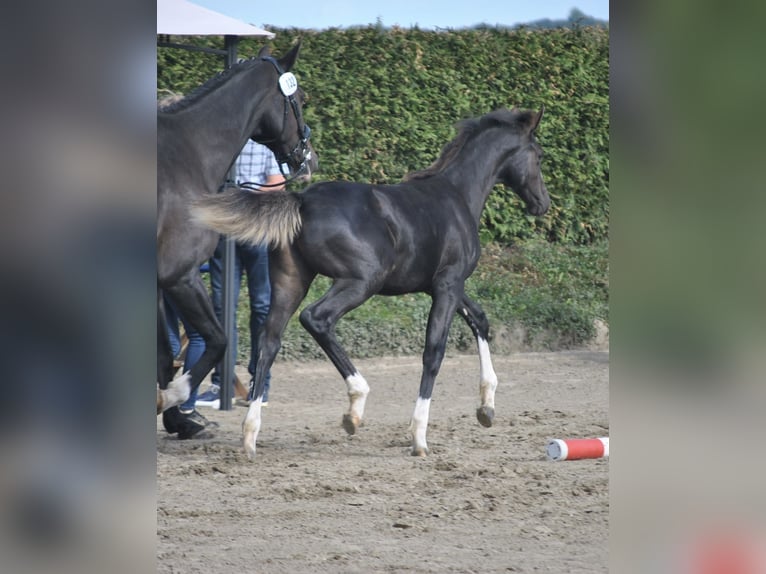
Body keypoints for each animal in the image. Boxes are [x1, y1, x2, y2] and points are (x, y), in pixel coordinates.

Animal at [158, 44, 318, 440]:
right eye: (298, 99)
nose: (309, 159)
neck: (186, 154)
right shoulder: (180, 275)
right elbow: (218, 340)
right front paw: (174, 400)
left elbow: (164, 356)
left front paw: (179, 419)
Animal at [192, 108, 552, 460]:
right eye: (538, 156)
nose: (543, 203)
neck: (458, 195)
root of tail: (302, 199)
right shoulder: (448, 285)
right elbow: (434, 351)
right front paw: (419, 436)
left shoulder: (445, 285)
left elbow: (480, 318)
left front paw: (486, 408)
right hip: (362, 281)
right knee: (316, 318)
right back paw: (355, 405)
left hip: (291, 281)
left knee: (269, 339)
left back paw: (250, 435)